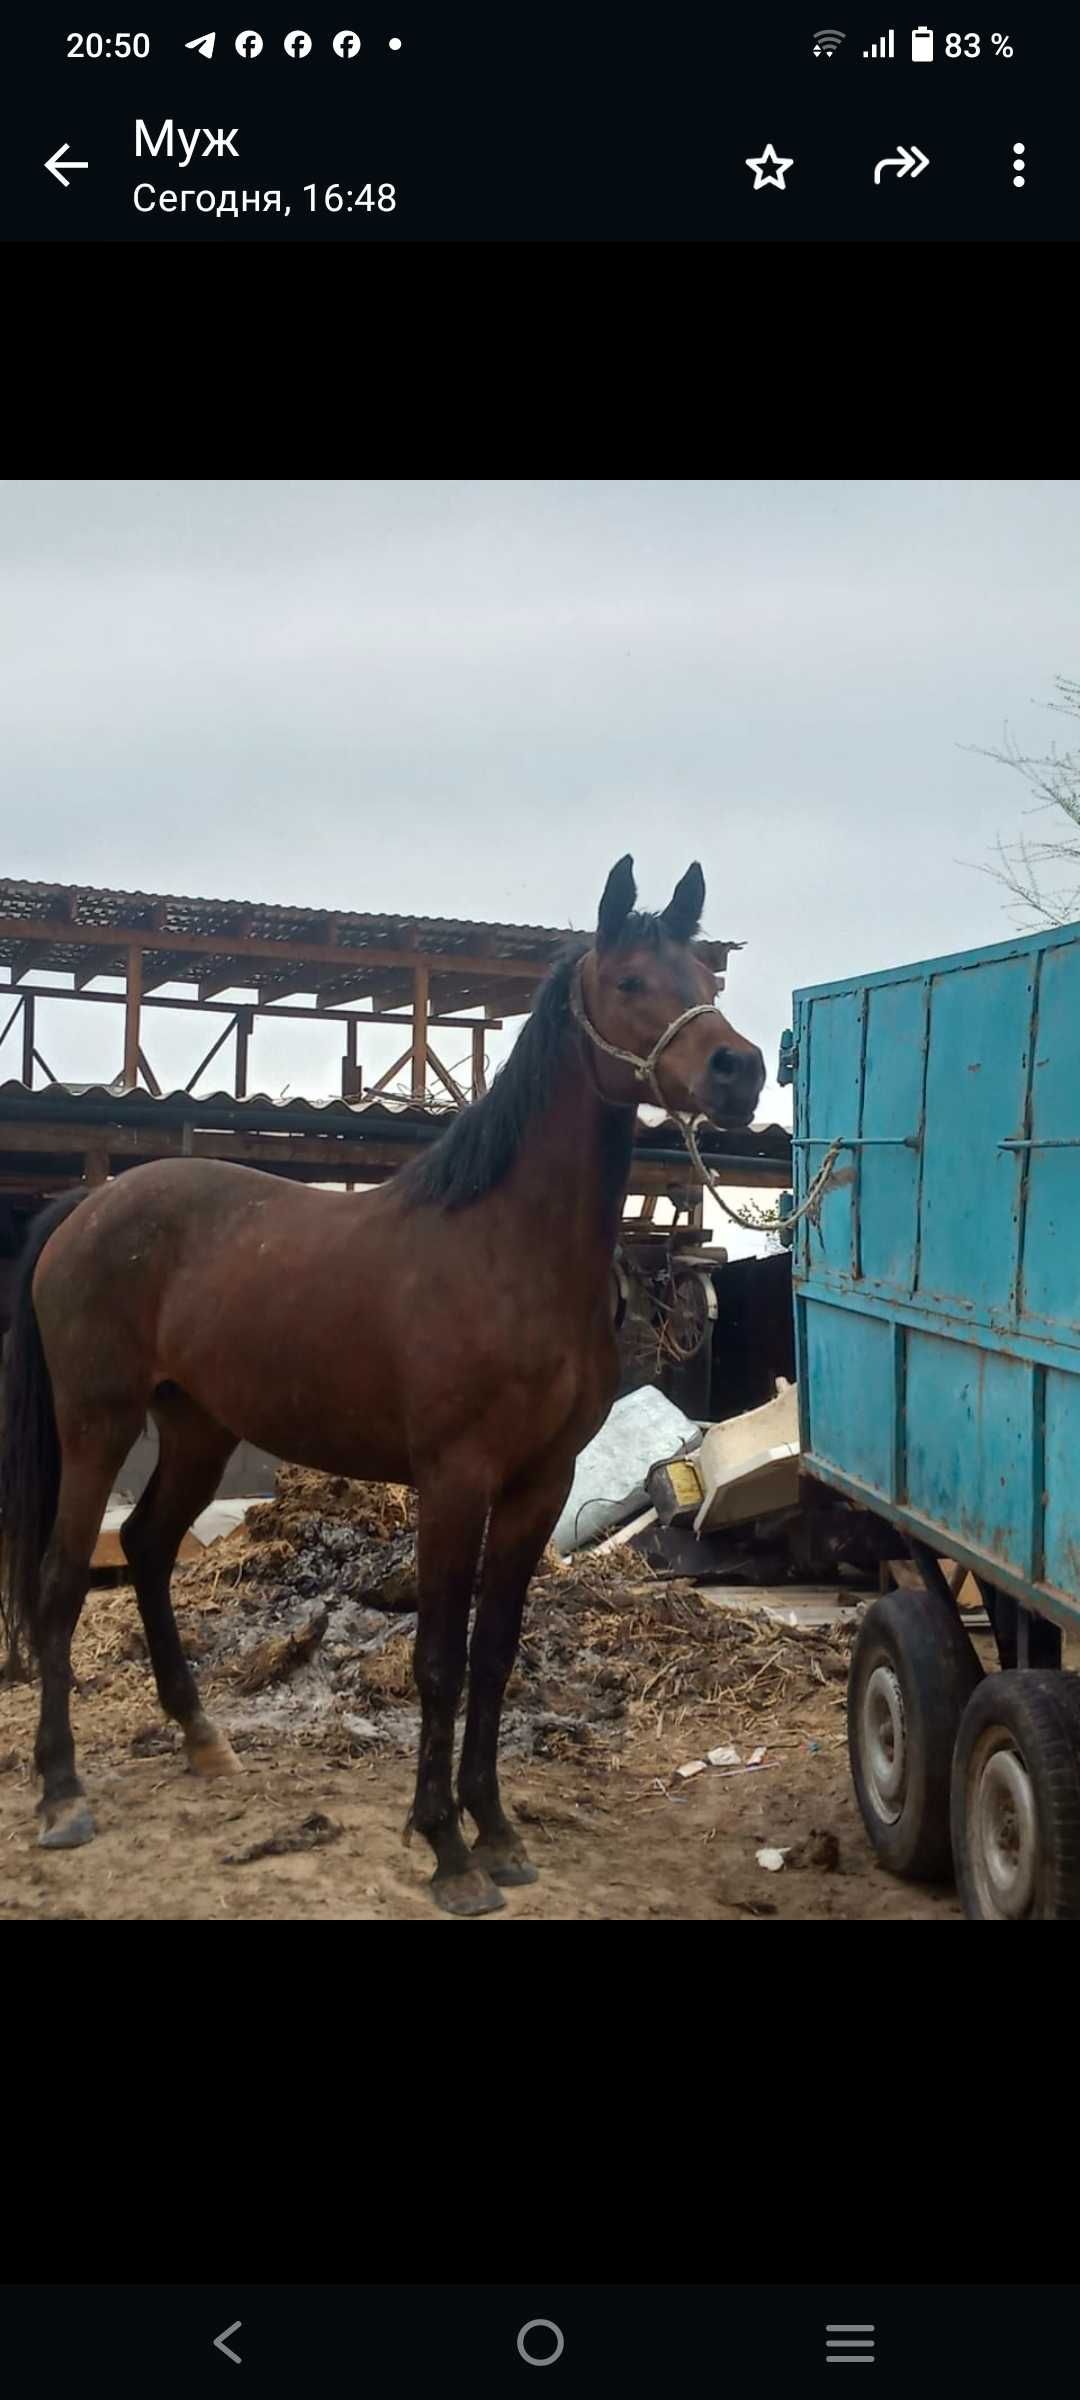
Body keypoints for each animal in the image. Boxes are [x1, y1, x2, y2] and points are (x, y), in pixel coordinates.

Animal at [0, 859, 763, 1910]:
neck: (507, 1253)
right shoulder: (454, 1479)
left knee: (149, 1548)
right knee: (64, 1578)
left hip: (195, 1429)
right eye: (631, 981)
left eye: (704, 975)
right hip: (98, 1424)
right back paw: (62, 1794)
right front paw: (446, 1848)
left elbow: (495, 1655)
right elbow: (438, 1659)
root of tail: (85, 1205)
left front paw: (497, 1832)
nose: (741, 1072)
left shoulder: (540, 1485)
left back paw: (203, 1741)